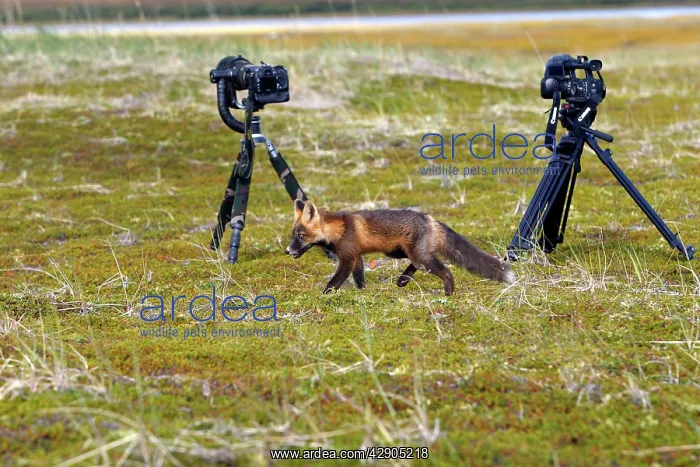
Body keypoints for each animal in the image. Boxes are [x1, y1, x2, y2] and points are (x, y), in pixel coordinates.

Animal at [285, 200, 515, 295]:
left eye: (300, 235)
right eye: (293, 235)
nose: (287, 251)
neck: (338, 230)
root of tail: (429, 219)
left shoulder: (348, 258)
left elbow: (334, 282)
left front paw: (323, 295)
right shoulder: (357, 256)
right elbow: (359, 279)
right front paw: (362, 293)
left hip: (420, 258)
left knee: (446, 271)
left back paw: (448, 293)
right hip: (401, 252)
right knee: (416, 264)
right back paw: (403, 279)